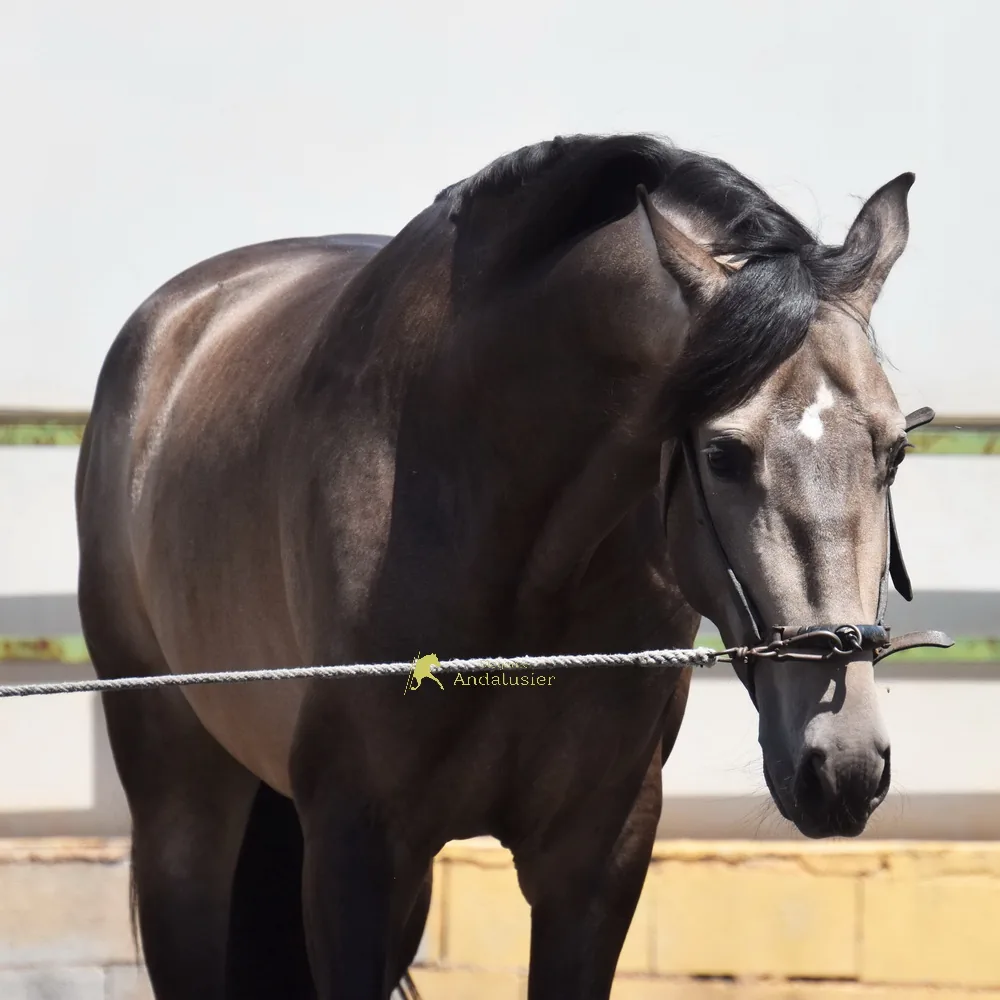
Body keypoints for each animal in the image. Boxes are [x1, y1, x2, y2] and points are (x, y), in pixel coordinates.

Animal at [74, 133, 946, 999]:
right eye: (723, 455)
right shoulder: (355, 849)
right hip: (181, 814)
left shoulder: (596, 857)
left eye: (894, 452)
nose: (842, 765)